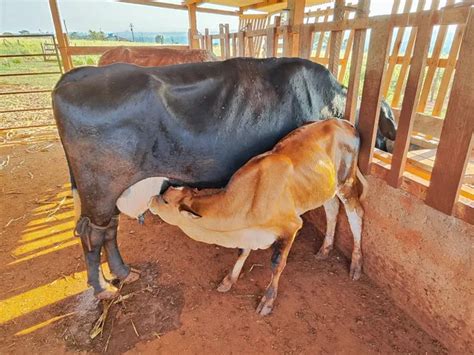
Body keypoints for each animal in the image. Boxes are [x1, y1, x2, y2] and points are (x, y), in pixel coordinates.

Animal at [52, 57, 396, 298]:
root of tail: (76, 75)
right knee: (93, 234)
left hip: (107, 193)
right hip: (100, 189)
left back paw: (123, 273)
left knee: (108, 229)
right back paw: (102, 288)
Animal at [148, 120, 366, 318]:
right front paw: (228, 281)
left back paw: (356, 265)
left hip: (346, 183)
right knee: (332, 209)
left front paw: (267, 301)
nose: (150, 199)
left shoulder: (292, 226)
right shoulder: (247, 231)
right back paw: (325, 249)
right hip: (325, 189)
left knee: (356, 213)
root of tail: (345, 122)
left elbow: (277, 263)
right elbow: (242, 252)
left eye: (165, 201)